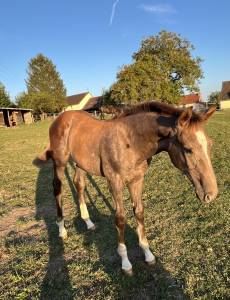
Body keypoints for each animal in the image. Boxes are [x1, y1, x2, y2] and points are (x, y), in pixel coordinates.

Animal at [34, 101, 217, 274]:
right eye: (188, 149)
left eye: (210, 144)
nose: (211, 195)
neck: (131, 141)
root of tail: (60, 118)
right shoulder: (114, 183)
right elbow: (120, 219)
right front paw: (125, 263)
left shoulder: (137, 180)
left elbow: (139, 212)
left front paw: (148, 254)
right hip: (59, 162)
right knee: (57, 188)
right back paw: (62, 230)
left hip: (81, 163)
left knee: (79, 184)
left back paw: (88, 222)